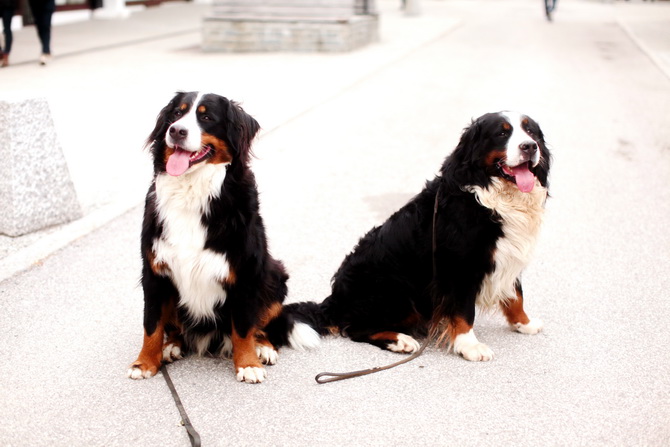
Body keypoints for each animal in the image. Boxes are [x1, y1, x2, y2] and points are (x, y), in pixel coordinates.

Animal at [129, 92, 322, 384]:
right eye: (176, 114)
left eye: (207, 117)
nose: (176, 131)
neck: (191, 192)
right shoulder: (155, 272)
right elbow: (151, 325)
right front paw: (145, 363)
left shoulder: (244, 273)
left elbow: (242, 327)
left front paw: (248, 364)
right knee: (173, 328)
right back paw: (172, 345)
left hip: (273, 275)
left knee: (263, 326)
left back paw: (263, 348)